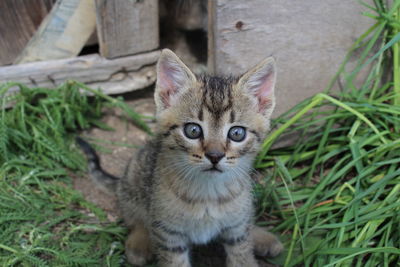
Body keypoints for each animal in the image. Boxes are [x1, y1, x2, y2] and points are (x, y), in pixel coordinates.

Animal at [78, 49, 282, 266]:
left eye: (237, 133)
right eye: (192, 130)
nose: (215, 156)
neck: (209, 193)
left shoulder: (238, 230)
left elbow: (243, 251)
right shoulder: (168, 235)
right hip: (135, 176)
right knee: (134, 215)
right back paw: (139, 242)